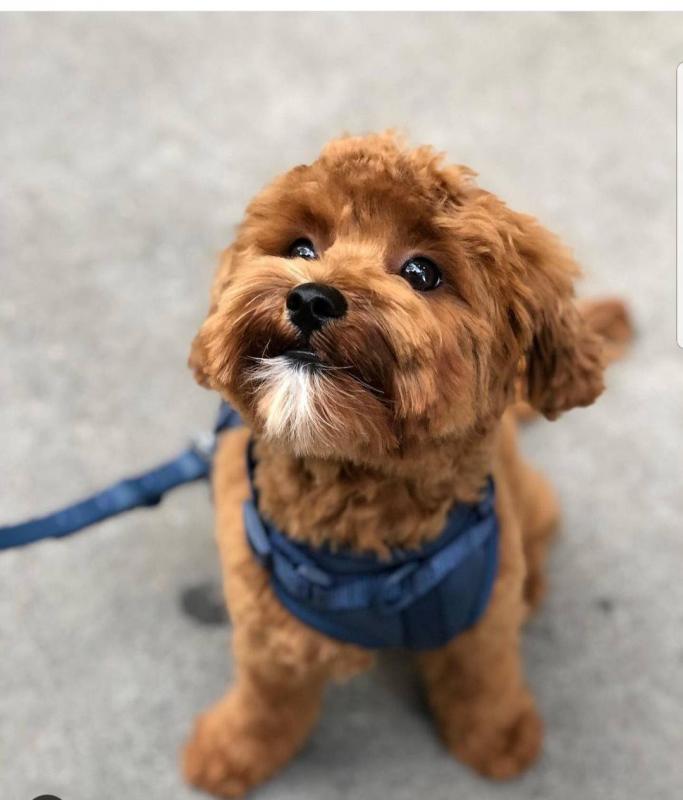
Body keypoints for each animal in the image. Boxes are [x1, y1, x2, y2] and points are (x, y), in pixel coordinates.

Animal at [182, 134, 632, 796]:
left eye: (422, 273)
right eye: (301, 248)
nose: (310, 297)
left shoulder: (479, 627)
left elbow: (485, 685)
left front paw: (500, 741)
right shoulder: (269, 635)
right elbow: (265, 706)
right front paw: (230, 751)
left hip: (532, 504)